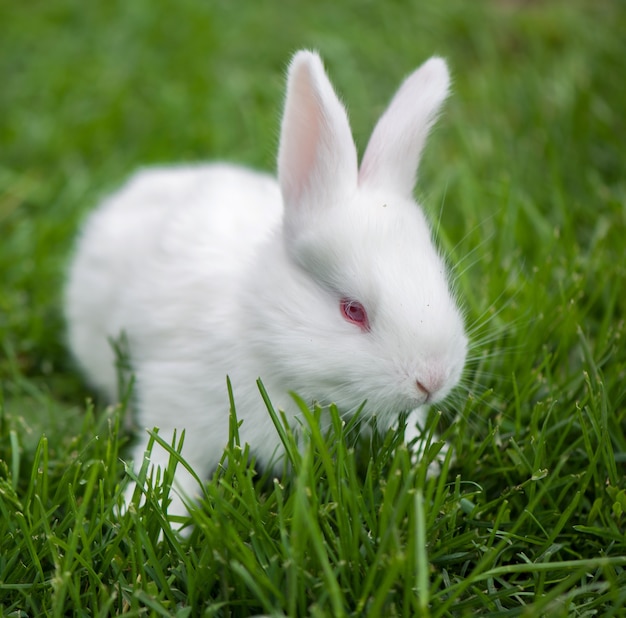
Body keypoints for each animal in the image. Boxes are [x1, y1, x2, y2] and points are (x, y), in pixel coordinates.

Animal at [64, 50, 464, 516]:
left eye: (440, 278)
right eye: (352, 310)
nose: (432, 381)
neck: (260, 328)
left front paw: (431, 457)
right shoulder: (177, 399)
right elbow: (169, 460)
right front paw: (146, 514)